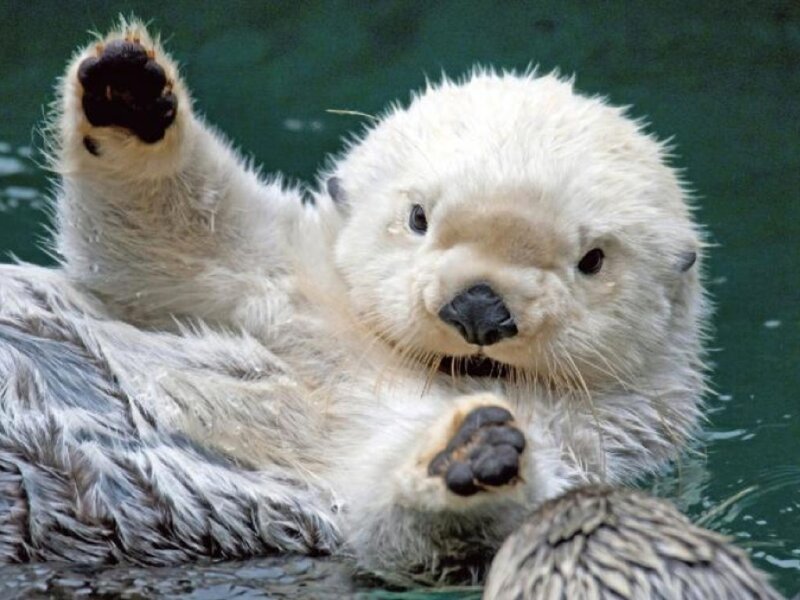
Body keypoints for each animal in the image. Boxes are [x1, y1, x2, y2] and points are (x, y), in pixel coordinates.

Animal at [0, 18, 706, 582]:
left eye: (593, 261)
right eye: (419, 218)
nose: (479, 309)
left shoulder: (588, 446)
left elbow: (401, 523)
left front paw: (471, 453)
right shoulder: (283, 283)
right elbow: (170, 241)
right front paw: (129, 93)